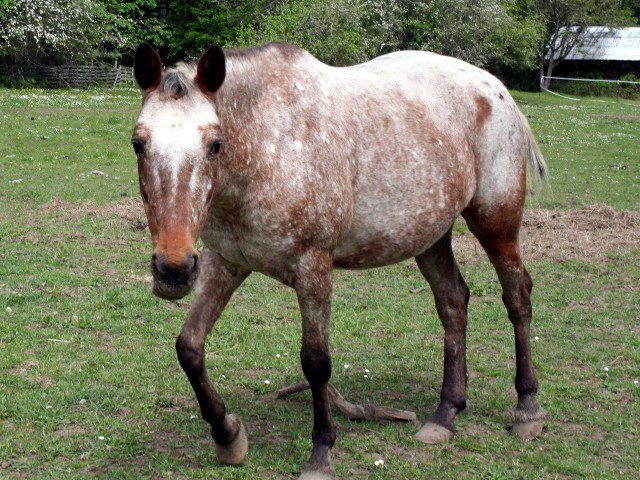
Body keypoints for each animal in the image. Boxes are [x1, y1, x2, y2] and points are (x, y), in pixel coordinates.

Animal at [131, 41, 547, 479]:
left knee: (517, 297)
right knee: (453, 303)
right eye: (138, 143)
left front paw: (321, 453)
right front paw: (228, 436)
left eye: (215, 144)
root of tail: (496, 90)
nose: (172, 269)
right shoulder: (223, 262)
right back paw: (445, 414)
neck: (267, 146)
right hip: (431, 236)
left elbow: (316, 362)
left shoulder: (313, 267)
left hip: (496, 223)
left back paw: (528, 411)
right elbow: (189, 347)